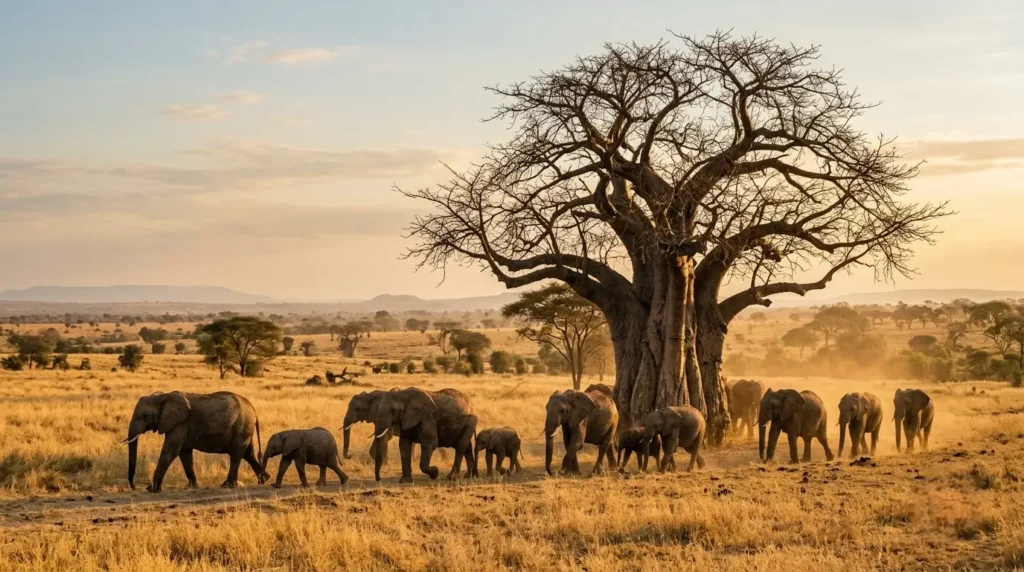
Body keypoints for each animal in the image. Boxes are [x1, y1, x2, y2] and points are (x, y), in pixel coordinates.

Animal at [122, 391, 268, 492]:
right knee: (248, 453)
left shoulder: (180, 423)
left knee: (236, 455)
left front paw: (152, 490)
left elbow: (170, 451)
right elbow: (184, 454)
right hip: (245, 428)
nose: (134, 487)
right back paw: (264, 479)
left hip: (242, 426)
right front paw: (191, 487)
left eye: (143, 416)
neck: (163, 397)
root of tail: (254, 409)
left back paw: (227, 485)